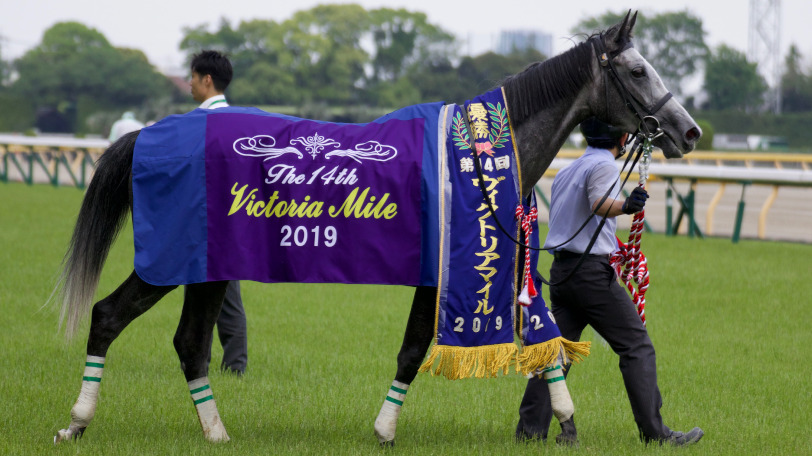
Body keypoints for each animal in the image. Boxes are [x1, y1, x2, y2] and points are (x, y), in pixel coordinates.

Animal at [54, 12, 696, 448]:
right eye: (637, 69)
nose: (688, 131)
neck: (478, 157)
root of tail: (148, 135)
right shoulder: (444, 275)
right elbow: (413, 350)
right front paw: (385, 428)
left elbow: (548, 343)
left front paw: (565, 419)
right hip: (170, 261)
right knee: (111, 317)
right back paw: (78, 421)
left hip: (206, 270)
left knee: (188, 343)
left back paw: (214, 432)